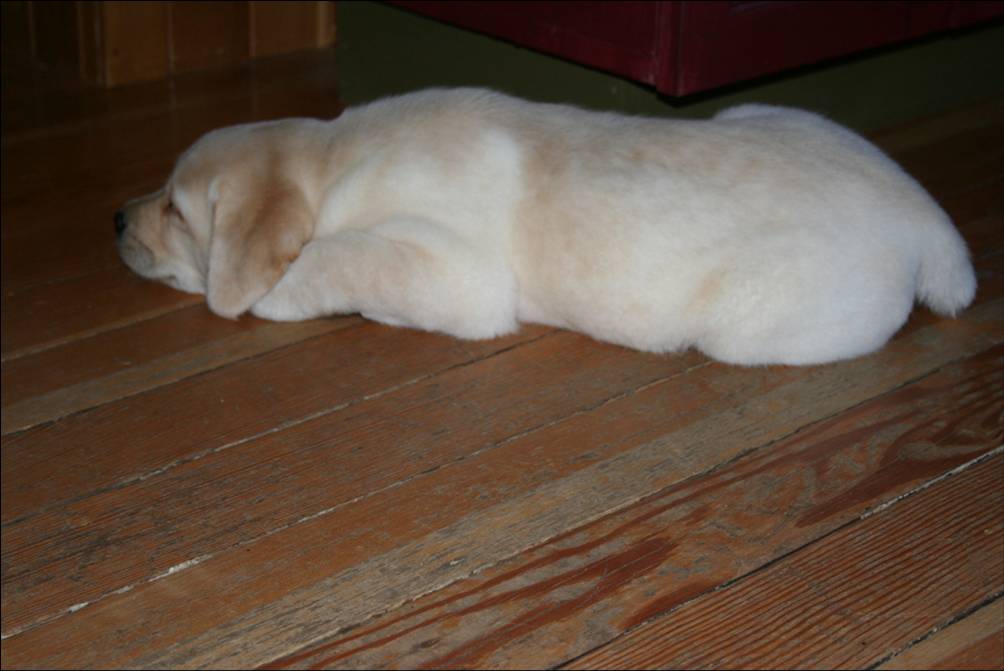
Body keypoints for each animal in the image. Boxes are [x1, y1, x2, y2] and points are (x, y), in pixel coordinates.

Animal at [113, 87, 975, 367]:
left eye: (175, 209)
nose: (115, 215)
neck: (332, 159)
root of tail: (928, 215)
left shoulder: (461, 280)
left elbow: (334, 256)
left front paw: (274, 291)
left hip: (749, 327)